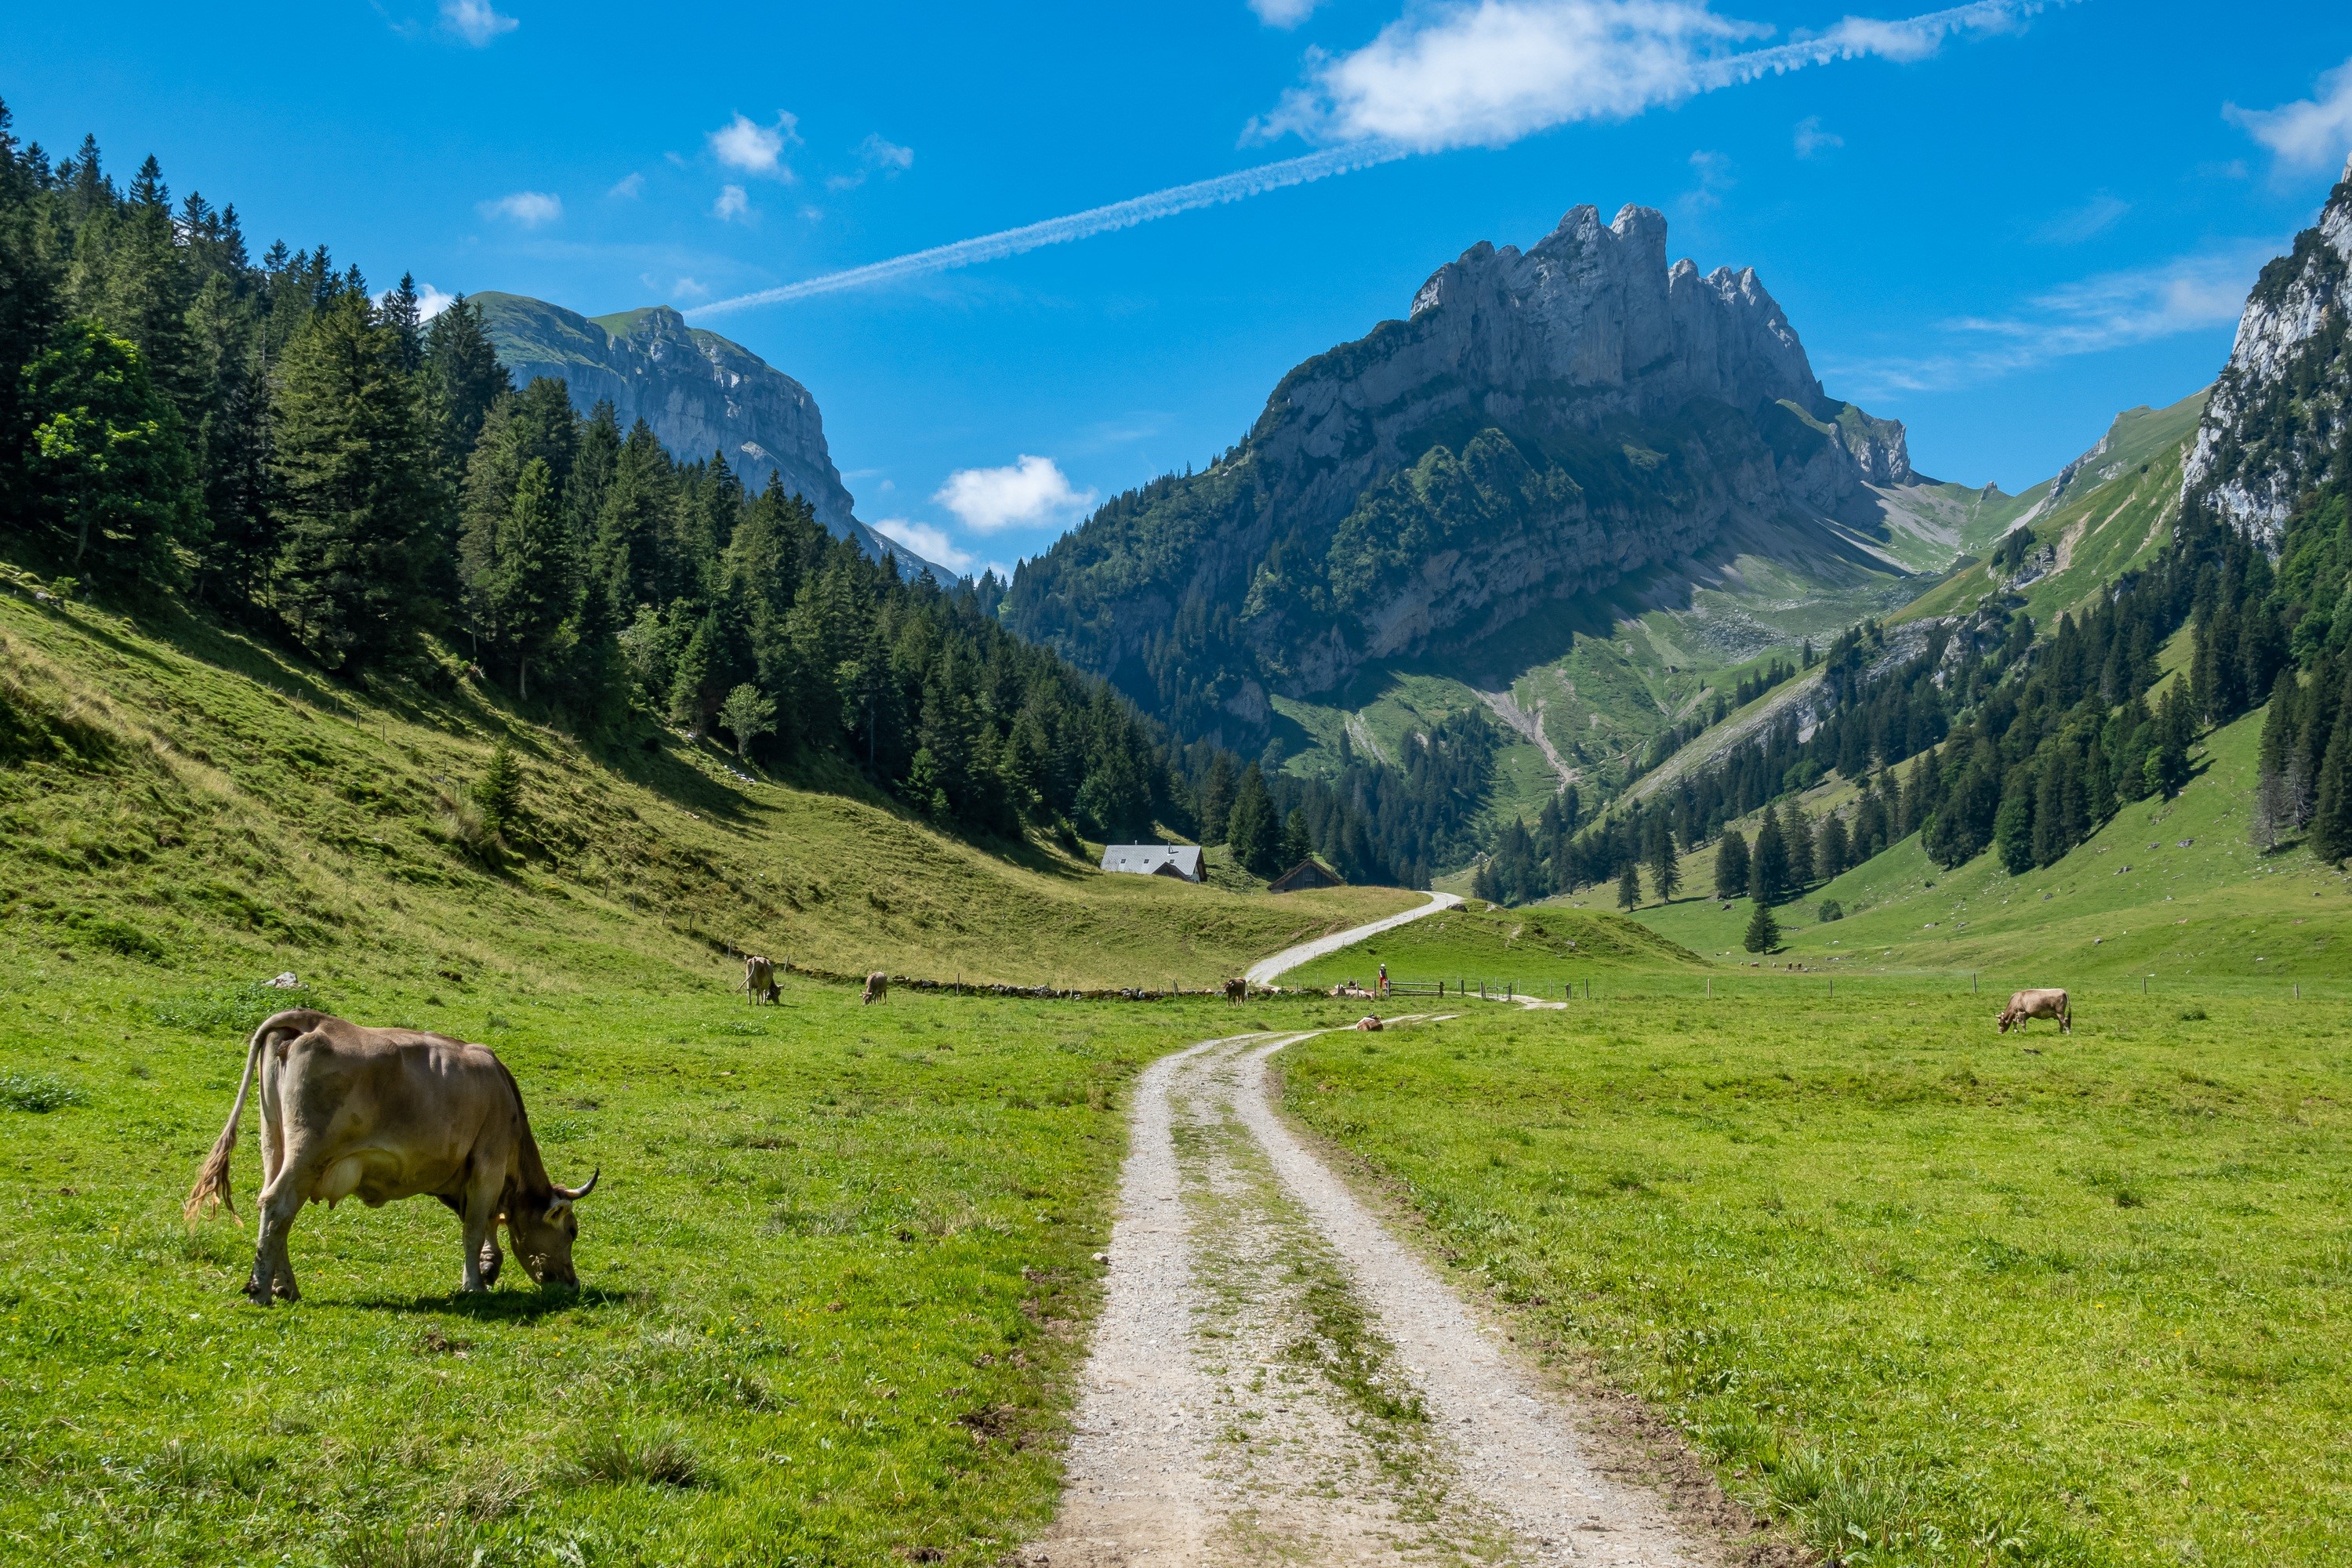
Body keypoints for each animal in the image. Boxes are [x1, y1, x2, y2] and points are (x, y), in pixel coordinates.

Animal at [184, 1010, 598, 1306]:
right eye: (572, 1230)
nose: (573, 1284)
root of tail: (313, 1019)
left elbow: (484, 1223)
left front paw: (488, 1266)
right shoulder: (488, 1163)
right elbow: (474, 1226)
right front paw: (475, 1285)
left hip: (275, 1142)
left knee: (274, 1212)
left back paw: (284, 1287)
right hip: (308, 1153)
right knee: (278, 1205)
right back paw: (261, 1291)